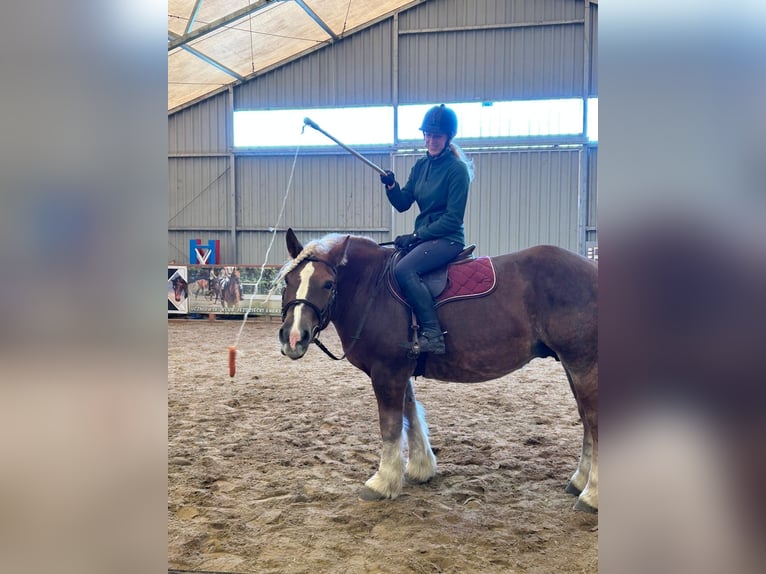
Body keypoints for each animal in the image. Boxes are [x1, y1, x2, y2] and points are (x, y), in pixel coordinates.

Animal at [278, 228, 600, 512]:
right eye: (287, 281)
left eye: (328, 284)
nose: (293, 337)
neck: (373, 288)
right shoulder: (399, 372)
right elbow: (410, 415)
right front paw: (420, 468)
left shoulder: (386, 373)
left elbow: (391, 426)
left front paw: (382, 482)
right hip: (572, 365)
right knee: (586, 420)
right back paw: (579, 481)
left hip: (583, 365)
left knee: (594, 421)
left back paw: (591, 495)